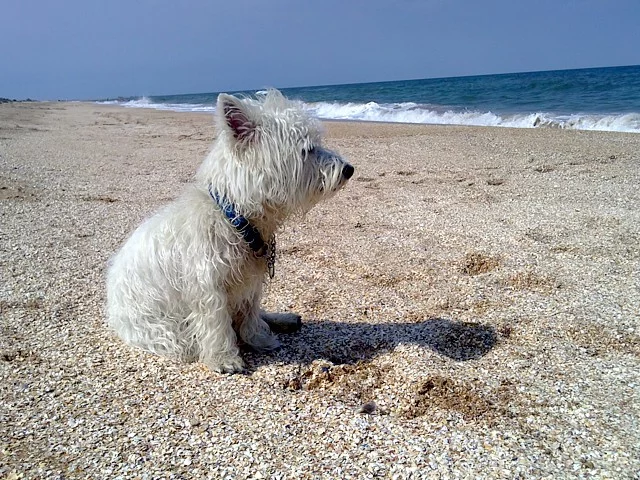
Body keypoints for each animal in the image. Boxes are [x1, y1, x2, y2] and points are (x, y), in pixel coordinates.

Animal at [106, 89, 353, 373]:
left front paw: (258, 338)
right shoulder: (208, 288)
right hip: (160, 331)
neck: (235, 218)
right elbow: (216, 324)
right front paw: (223, 358)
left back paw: (283, 319)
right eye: (307, 150)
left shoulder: (250, 283)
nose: (349, 169)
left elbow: (251, 313)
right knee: (180, 341)